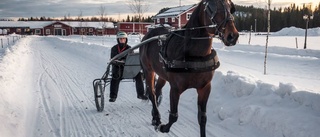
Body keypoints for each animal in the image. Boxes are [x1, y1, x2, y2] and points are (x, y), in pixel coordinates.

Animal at [139, 0, 239, 136]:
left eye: (230, 7)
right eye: (212, 7)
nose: (232, 36)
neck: (194, 57)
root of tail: (147, 36)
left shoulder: (204, 88)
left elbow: (202, 118)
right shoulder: (175, 88)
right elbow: (173, 116)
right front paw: (163, 127)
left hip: (162, 74)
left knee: (157, 90)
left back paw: (155, 117)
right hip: (149, 70)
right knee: (152, 94)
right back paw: (157, 118)